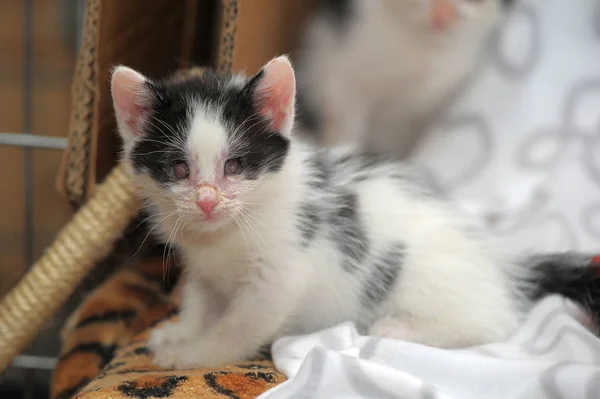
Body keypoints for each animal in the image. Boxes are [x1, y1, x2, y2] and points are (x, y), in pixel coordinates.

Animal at [110, 55, 596, 368]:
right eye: (178, 168)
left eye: (236, 165)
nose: (208, 200)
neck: (225, 234)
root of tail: (503, 264)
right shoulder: (202, 264)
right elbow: (200, 297)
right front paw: (183, 330)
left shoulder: (282, 272)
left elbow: (240, 324)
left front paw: (192, 354)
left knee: (494, 324)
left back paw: (399, 330)